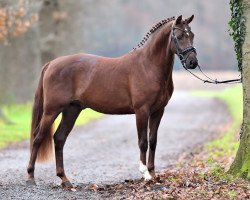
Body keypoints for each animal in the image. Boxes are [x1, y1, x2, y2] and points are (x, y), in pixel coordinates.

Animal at [26, 14, 197, 187]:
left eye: (192, 35)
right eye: (180, 36)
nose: (193, 62)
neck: (148, 66)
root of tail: (51, 64)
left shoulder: (158, 111)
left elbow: (153, 141)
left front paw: (153, 173)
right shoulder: (142, 110)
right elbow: (143, 142)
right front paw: (145, 174)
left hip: (71, 110)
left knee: (59, 138)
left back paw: (64, 179)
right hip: (52, 110)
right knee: (38, 137)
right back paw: (30, 177)